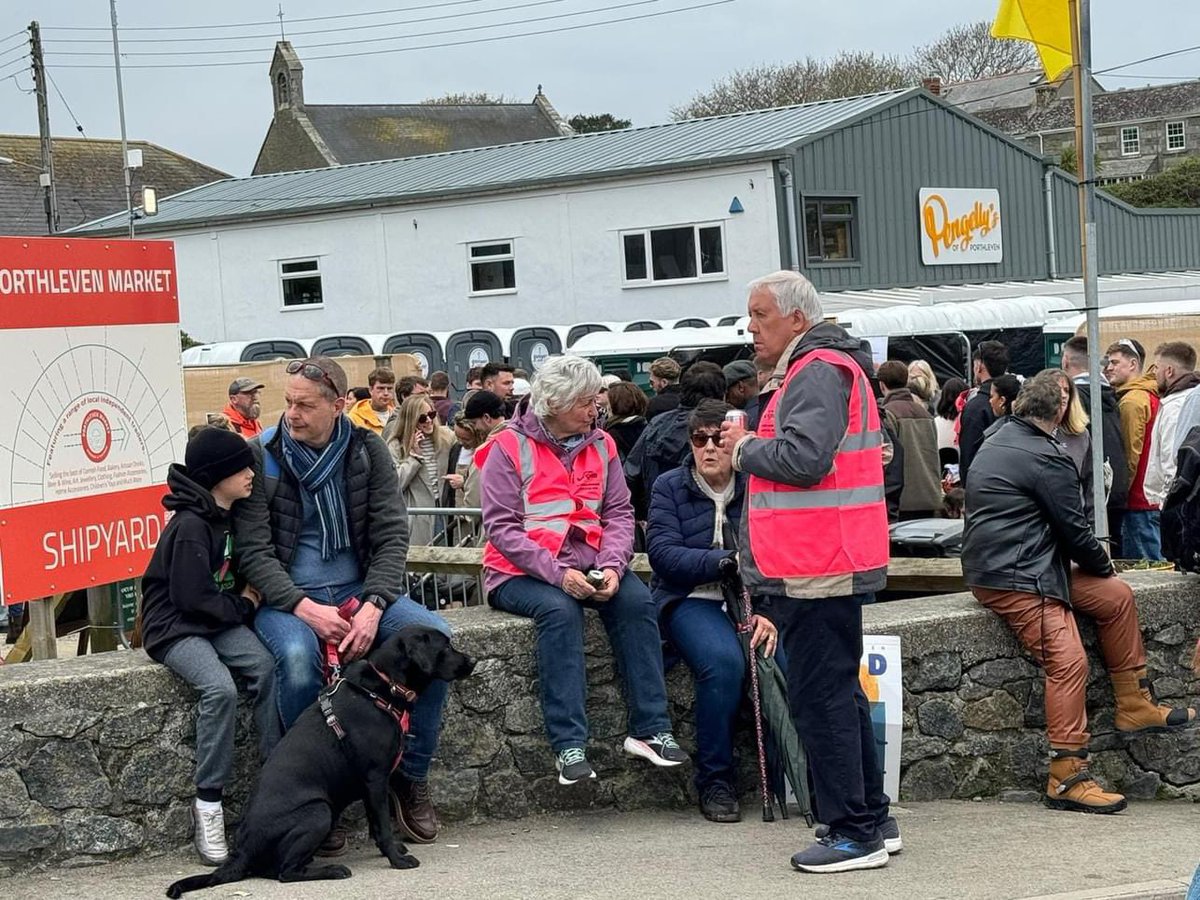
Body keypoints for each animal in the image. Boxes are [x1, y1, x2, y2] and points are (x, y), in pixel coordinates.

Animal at [168, 624, 472, 897]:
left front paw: (394, 850)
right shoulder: (375, 779)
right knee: (286, 873)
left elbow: (376, 825)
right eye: (445, 647)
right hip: (319, 811)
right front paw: (397, 860)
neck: (381, 689)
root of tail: (242, 852)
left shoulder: (372, 785)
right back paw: (333, 870)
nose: (472, 661)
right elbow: (384, 826)